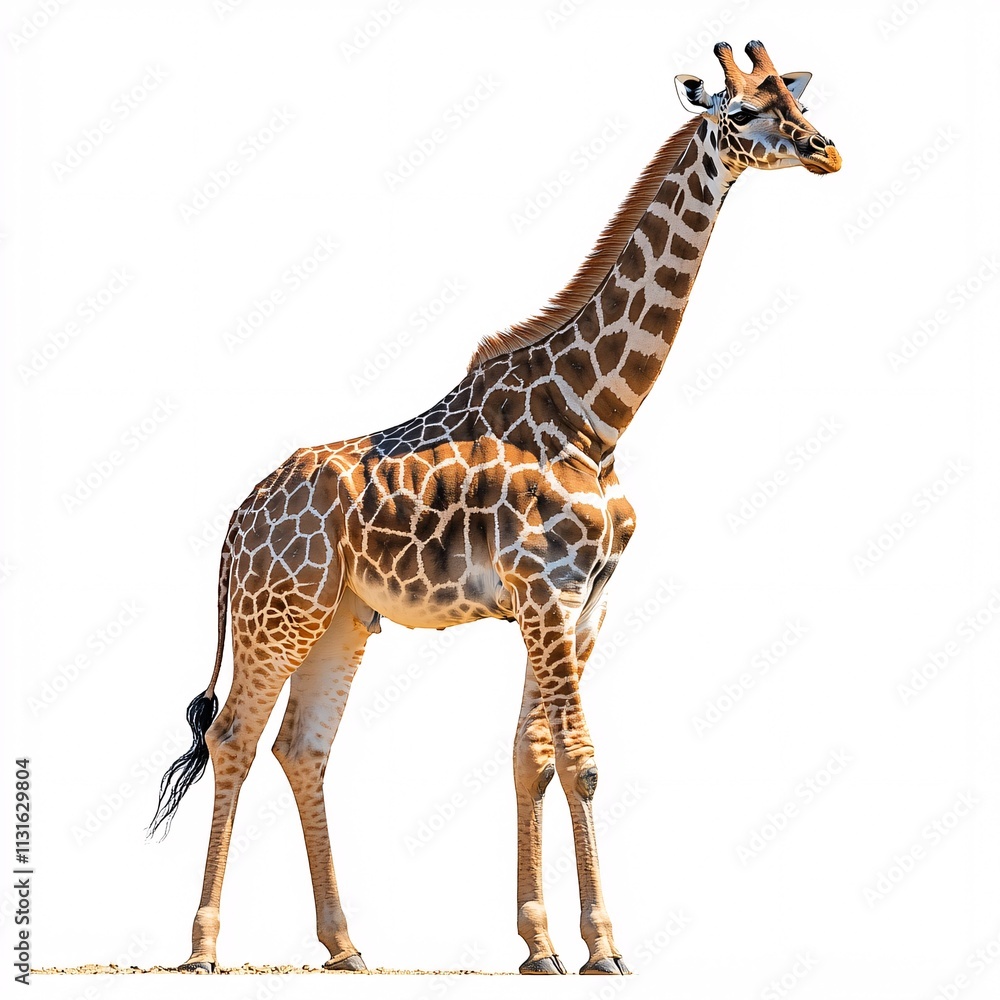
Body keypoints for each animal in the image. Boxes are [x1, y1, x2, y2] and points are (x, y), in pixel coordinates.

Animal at [151, 40, 840, 976]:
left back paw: (346, 945)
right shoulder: (547, 591)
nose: (826, 151)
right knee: (233, 739)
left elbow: (532, 758)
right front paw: (605, 948)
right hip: (278, 611)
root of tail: (232, 525)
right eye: (739, 112)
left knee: (303, 746)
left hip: (339, 619)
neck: (597, 415)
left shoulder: (583, 602)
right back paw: (203, 947)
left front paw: (542, 946)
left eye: (795, 101)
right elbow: (581, 760)